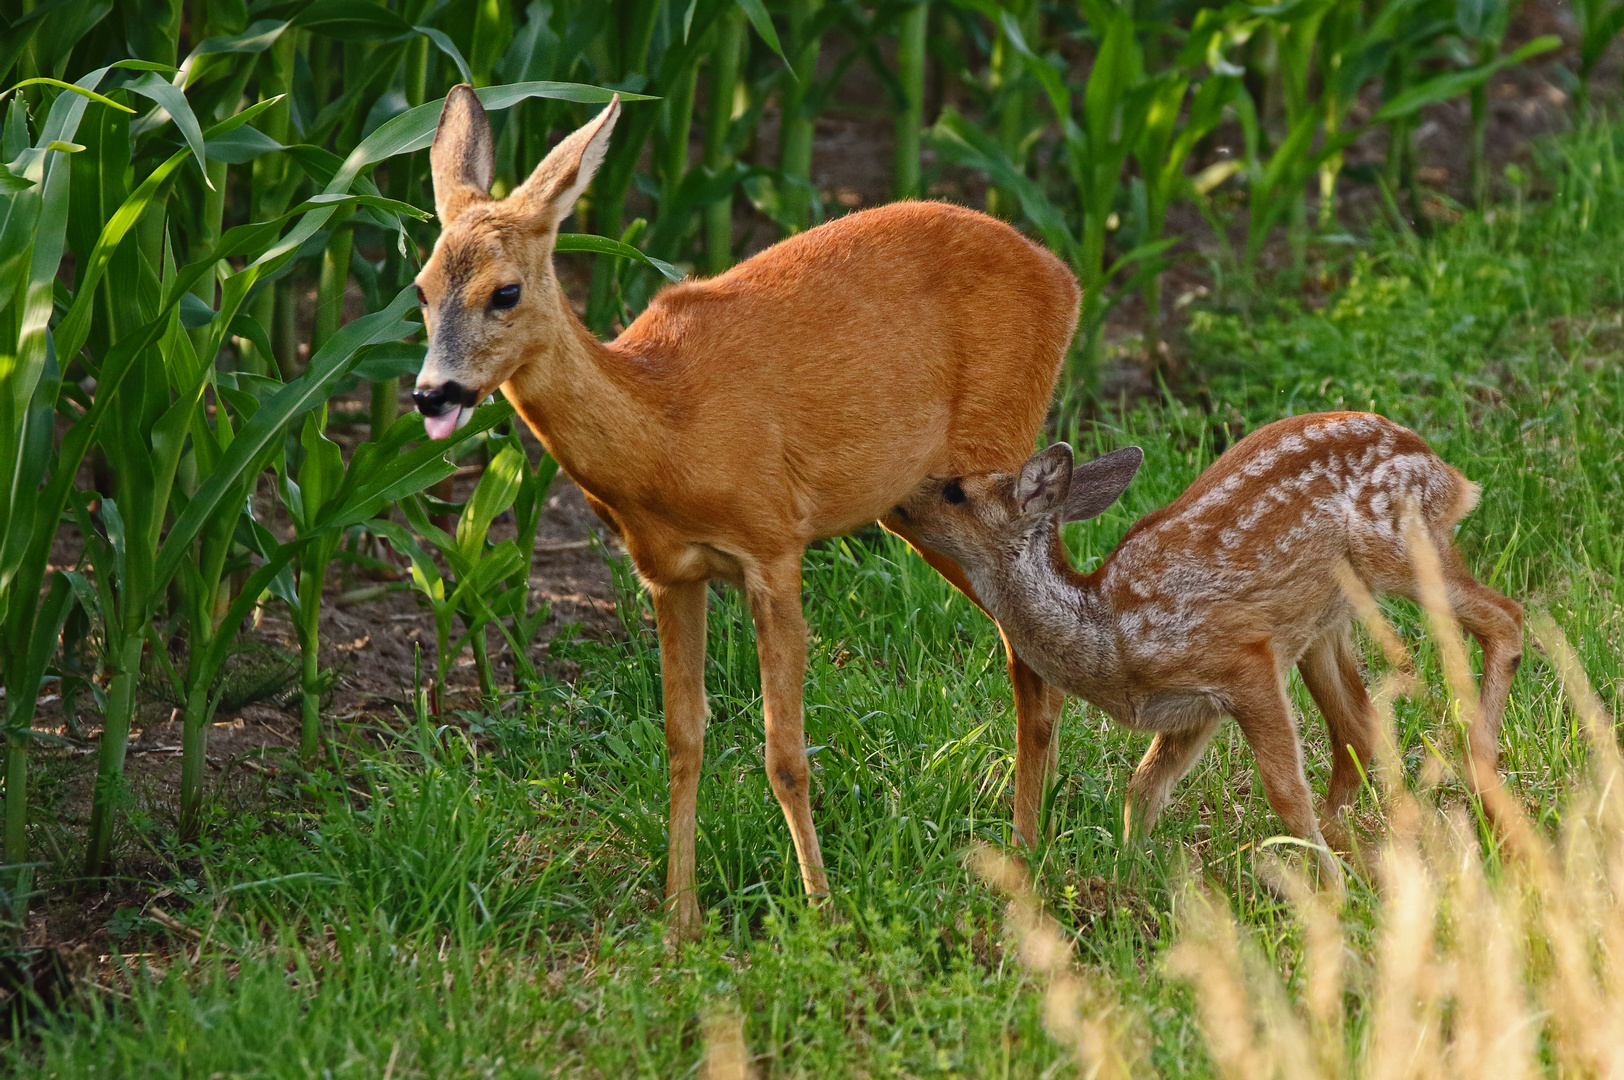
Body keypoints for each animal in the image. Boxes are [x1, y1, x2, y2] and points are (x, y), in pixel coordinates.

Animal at [412, 88, 1084, 928]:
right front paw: (681, 922)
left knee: (1031, 635)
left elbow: (785, 752)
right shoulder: (668, 572)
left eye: (504, 291)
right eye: (419, 289)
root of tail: (1066, 278)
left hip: (989, 454)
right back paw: (1038, 838)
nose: (433, 392)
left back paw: (1028, 849)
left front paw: (822, 910)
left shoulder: (772, 544)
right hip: (918, 504)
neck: (669, 430)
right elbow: (682, 739)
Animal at [902, 412, 1520, 883]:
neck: (1109, 634)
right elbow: (1142, 788)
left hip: (1394, 548)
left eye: (955, 491)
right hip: (1325, 622)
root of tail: (1446, 471)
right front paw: (1129, 876)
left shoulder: (1241, 660)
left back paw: (1477, 774)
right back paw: (1362, 842)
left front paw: (1328, 891)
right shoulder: (1192, 710)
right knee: (1358, 728)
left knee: (1506, 619)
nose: (901, 500)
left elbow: (1283, 792)